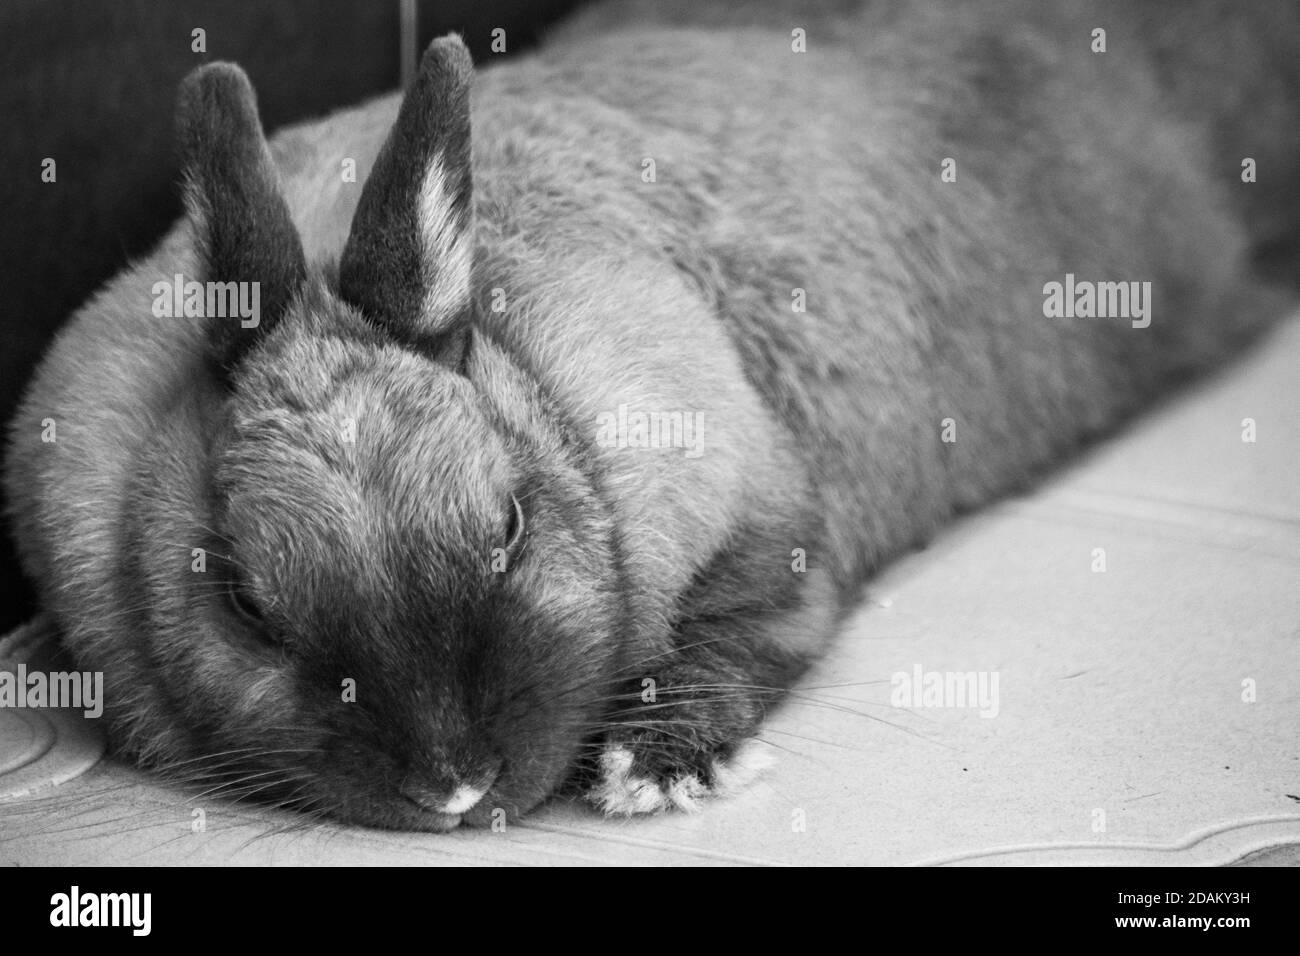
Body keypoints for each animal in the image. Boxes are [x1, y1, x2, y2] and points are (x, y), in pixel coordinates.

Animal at [2, 0, 1300, 832]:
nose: (454, 788)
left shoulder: (781, 542)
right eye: (245, 603)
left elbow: (747, 635)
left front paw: (655, 770)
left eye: (509, 525)